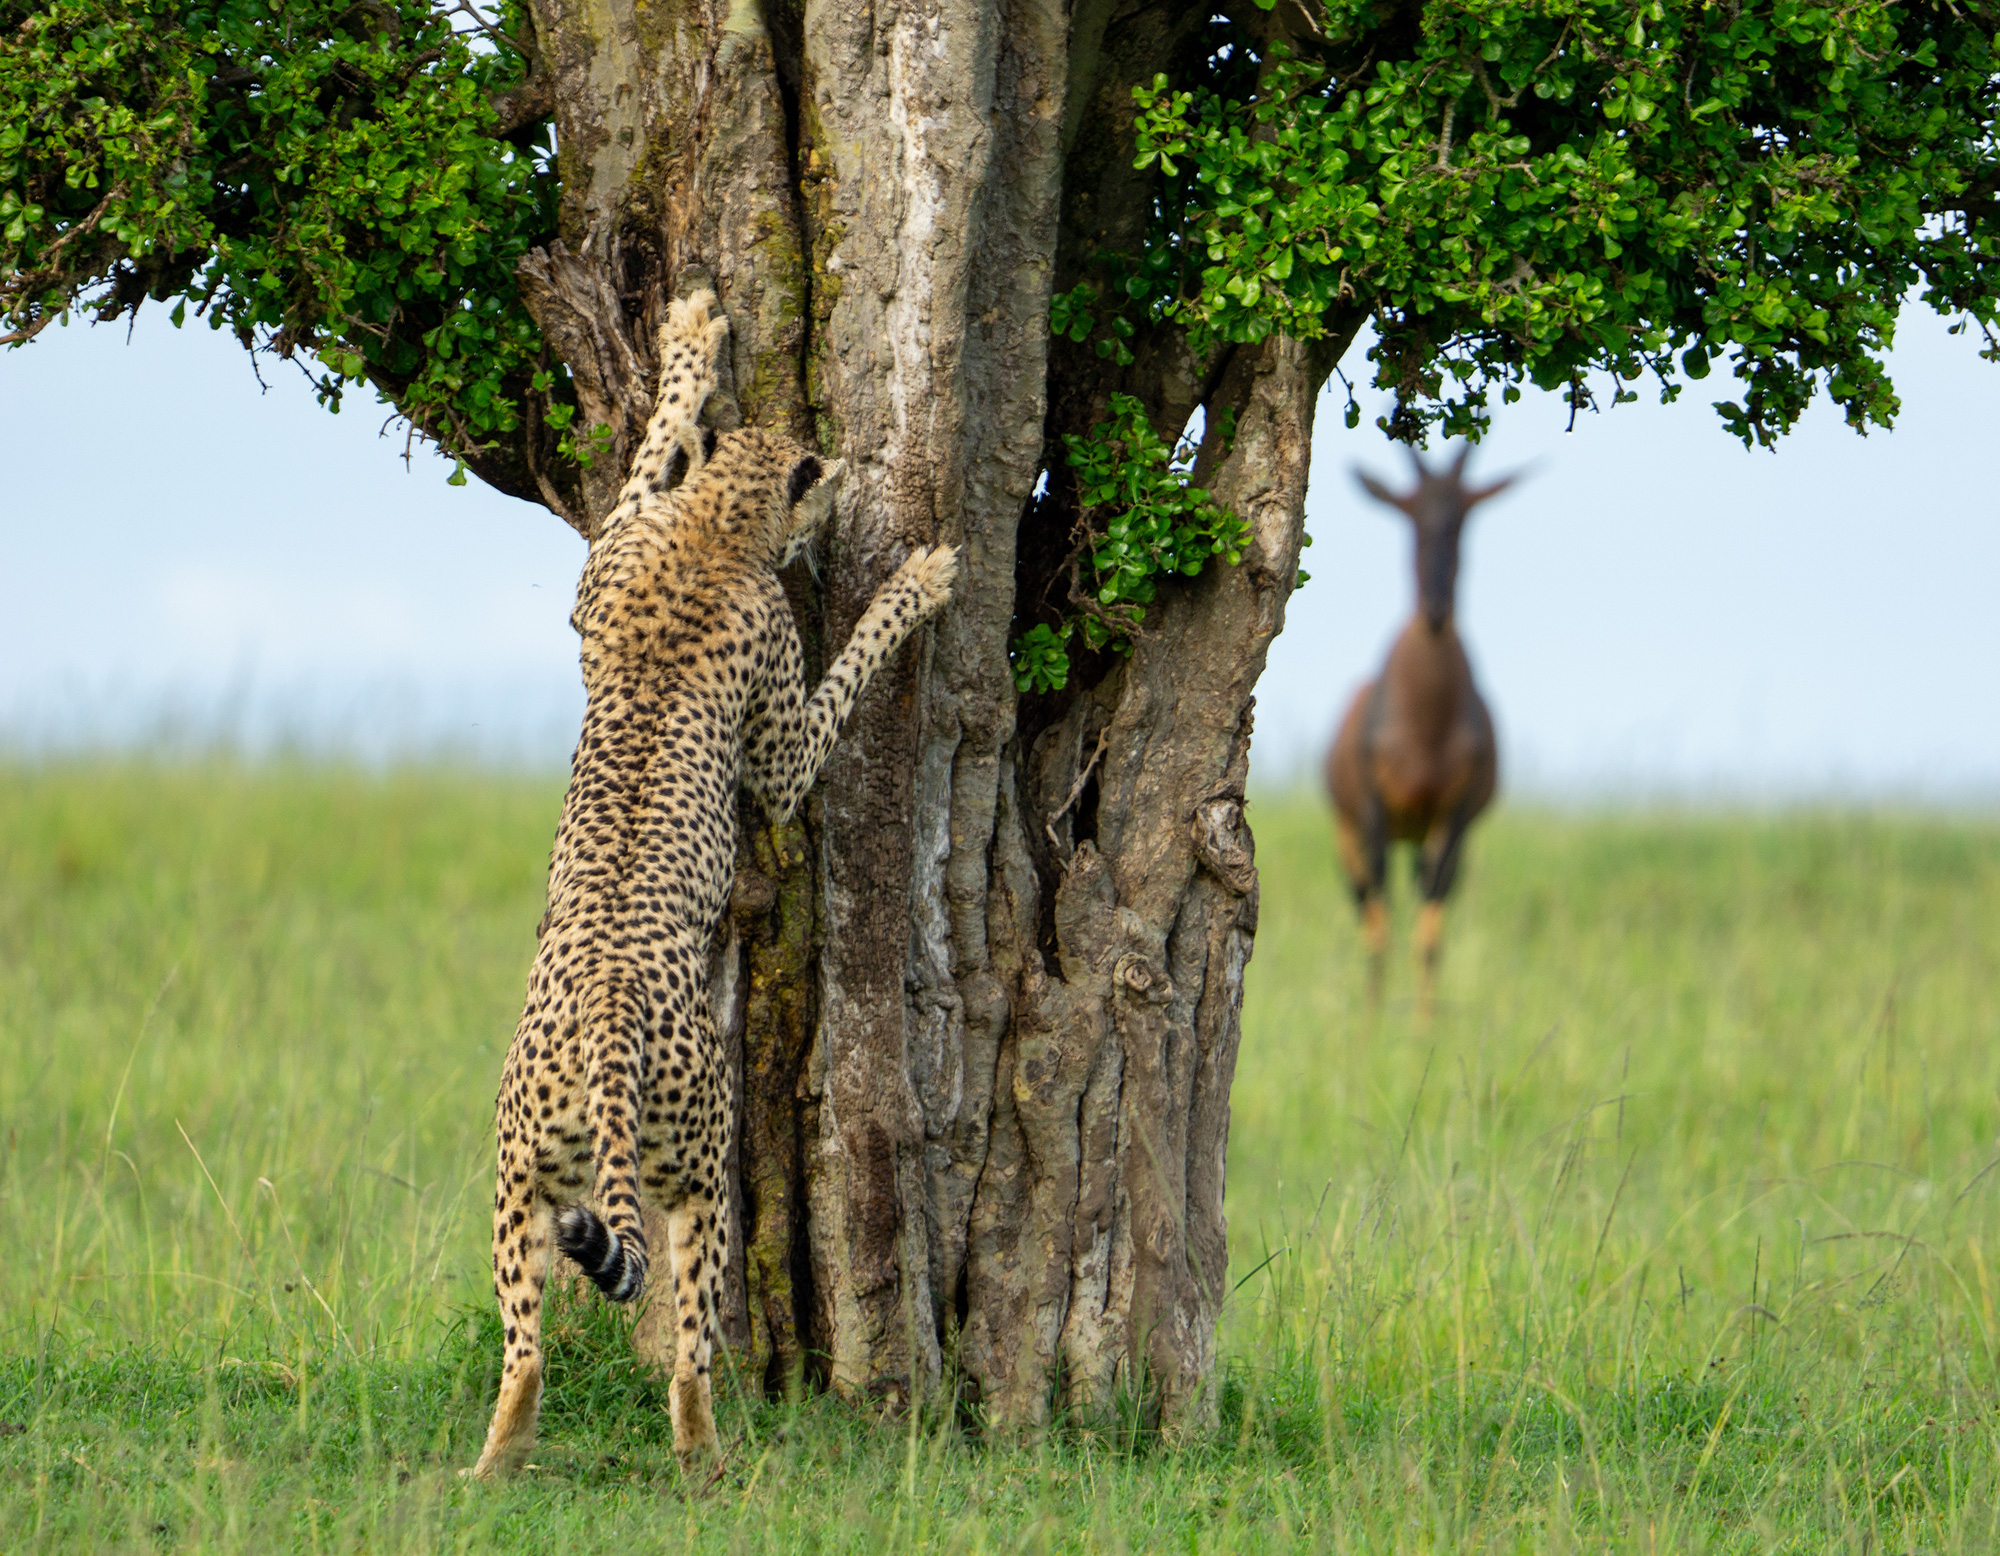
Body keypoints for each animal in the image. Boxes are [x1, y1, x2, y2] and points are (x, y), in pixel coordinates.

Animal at [476, 288, 960, 1464]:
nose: (840, 499)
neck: (716, 527)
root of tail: (610, 1014)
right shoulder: (778, 746)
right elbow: (838, 685)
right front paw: (913, 583)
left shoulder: (598, 573)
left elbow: (649, 450)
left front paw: (690, 345)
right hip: (698, 1170)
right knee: (693, 1346)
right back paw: (705, 1459)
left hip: (520, 1182)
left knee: (526, 1348)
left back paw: (492, 1462)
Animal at [1328, 442, 1512, 1012]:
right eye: (1407, 512)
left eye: (1465, 516)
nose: (1436, 610)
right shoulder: (1373, 816)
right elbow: (1379, 925)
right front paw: (1371, 1024)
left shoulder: (1454, 819)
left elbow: (1431, 933)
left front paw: (1421, 1027)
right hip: (1351, 835)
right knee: (1366, 907)